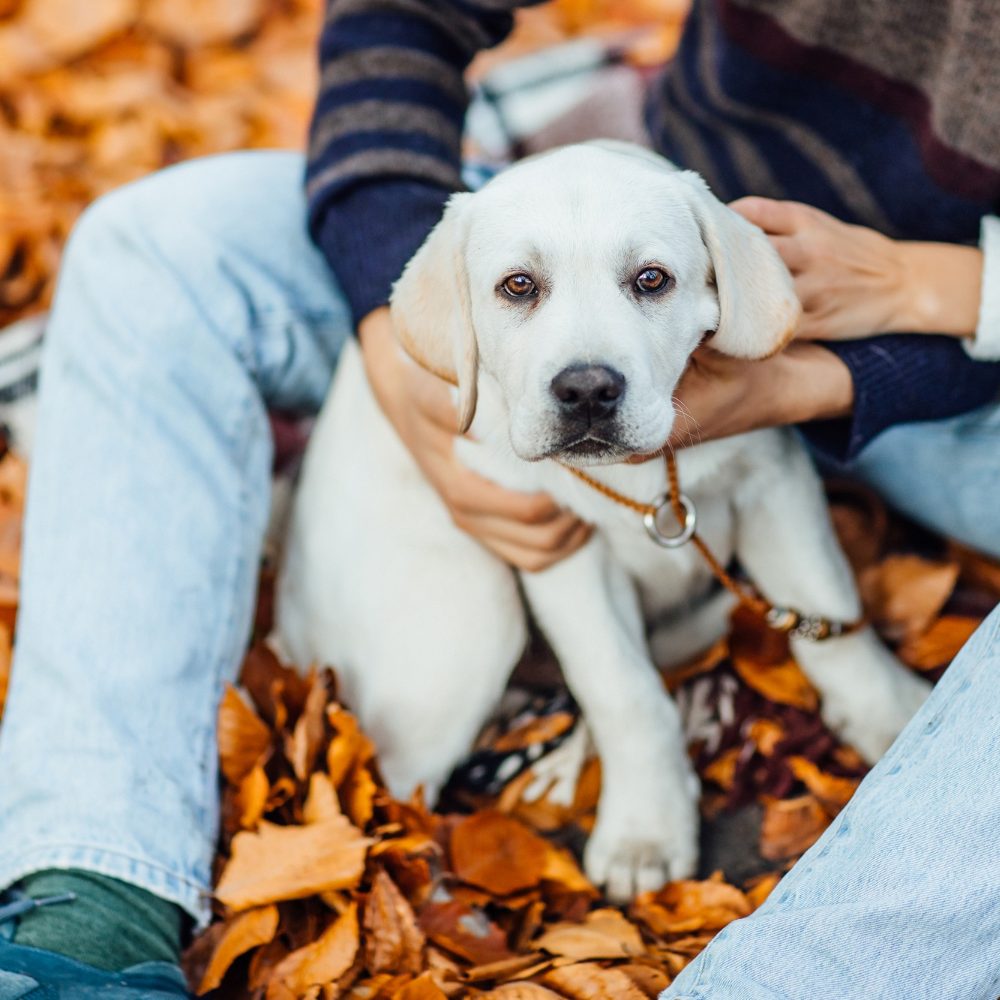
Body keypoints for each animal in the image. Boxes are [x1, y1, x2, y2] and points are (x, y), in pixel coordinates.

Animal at [276, 145, 928, 904]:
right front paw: (646, 830)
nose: (586, 389)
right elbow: (624, 691)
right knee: (401, 797)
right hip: (467, 626)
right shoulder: (561, 551)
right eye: (518, 286)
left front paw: (891, 712)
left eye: (651, 280)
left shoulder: (775, 479)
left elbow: (828, 613)